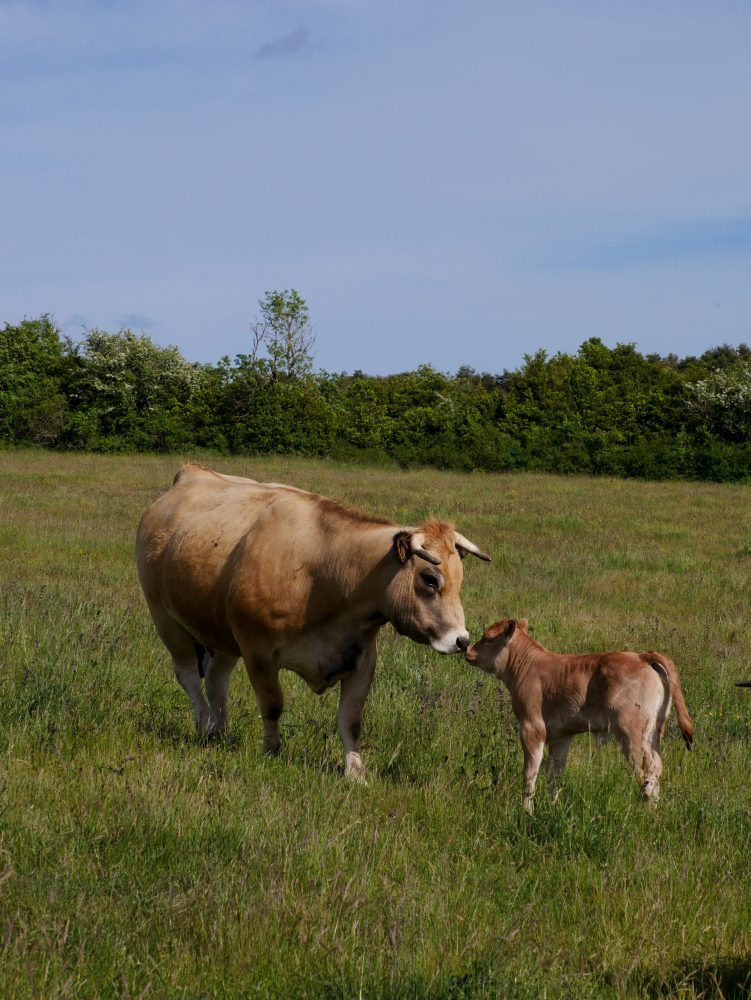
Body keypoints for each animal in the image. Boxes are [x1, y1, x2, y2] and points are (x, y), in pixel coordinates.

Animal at [136, 464, 490, 780]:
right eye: (430, 579)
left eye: (459, 579)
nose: (461, 639)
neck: (325, 573)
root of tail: (192, 472)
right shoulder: (257, 652)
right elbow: (273, 706)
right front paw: (271, 752)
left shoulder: (363, 659)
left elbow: (350, 720)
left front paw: (355, 773)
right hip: (165, 618)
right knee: (188, 676)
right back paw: (206, 724)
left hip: (222, 634)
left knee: (216, 678)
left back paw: (221, 732)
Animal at [465, 618, 694, 811]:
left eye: (487, 638)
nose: (467, 650)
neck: (526, 667)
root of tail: (640, 655)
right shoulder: (561, 736)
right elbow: (554, 773)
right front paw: (553, 806)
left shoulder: (531, 729)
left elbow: (530, 773)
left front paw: (527, 810)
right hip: (654, 732)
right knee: (657, 767)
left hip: (632, 733)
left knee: (646, 771)